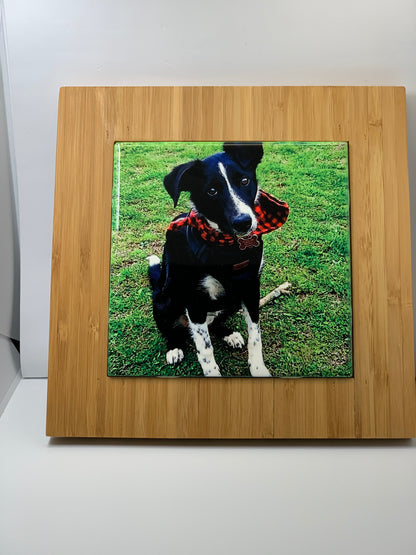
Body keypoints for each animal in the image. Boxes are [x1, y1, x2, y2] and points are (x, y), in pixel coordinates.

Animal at [147, 143, 290, 378]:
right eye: (211, 191)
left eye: (244, 181)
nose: (243, 222)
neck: (227, 246)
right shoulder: (194, 301)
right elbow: (205, 350)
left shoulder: (250, 288)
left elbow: (255, 336)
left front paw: (258, 369)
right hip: (164, 302)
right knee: (172, 330)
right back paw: (174, 347)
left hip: (232, 302)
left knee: (214, 324)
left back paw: (229, 334)